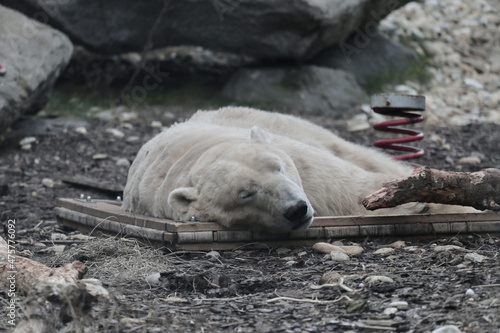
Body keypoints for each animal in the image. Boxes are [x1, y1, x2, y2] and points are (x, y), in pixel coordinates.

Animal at [123, 106, 470, 231]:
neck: (195, 156)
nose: (297, 209)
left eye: (278, 168)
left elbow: (349, 185)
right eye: (247, 194)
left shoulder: (302, 162)